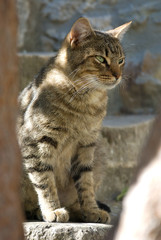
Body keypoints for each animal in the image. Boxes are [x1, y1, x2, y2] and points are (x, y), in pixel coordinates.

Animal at [17, 16, 131, 223]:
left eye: (121, 60)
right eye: (100, 59)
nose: (118, 76)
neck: (86, 101)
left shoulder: (87, 144)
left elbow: (86, 184)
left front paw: (91, 210)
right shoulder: (36, 142)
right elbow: (45, 181)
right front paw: (52, 209)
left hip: (100, 153)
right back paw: (38, 211)